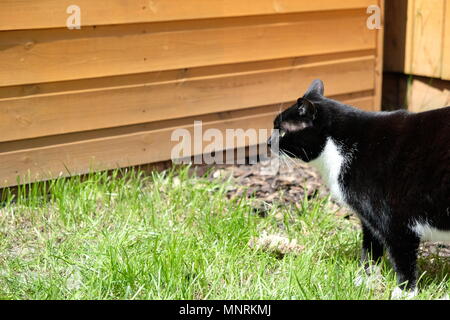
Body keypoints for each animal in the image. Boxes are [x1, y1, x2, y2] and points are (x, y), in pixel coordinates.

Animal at [268, 79, 448, 298]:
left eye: (282, 130)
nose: (267, 142)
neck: (340, 147)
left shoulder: (395, 221)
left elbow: (402, 257)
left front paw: (405, 291)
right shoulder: (369, 219)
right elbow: (370, 248)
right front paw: (365, 280)